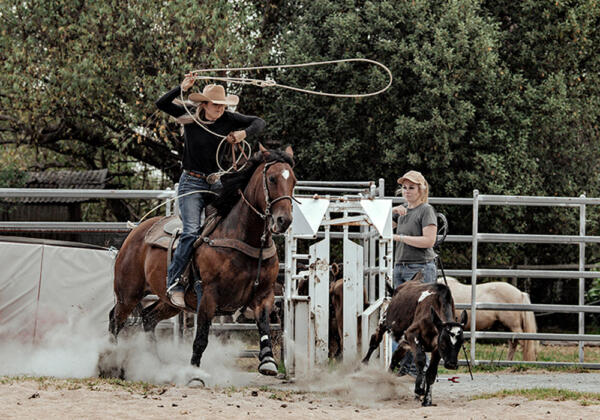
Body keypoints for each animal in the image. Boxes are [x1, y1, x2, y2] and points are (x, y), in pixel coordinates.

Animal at [110, 144, 298, 374]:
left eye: (294, 181)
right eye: (271, 178)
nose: (284, 220)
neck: (244, 238)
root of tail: (135, 232)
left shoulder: (264, 295)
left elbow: (264, 326)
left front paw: (268, 361)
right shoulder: (208, 295)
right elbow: (201, 338)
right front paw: (194, 372)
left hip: (169, 302)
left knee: (148, 318)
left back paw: (154, 365)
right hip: (128, 294)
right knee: (115, 321)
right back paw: (111, 363)